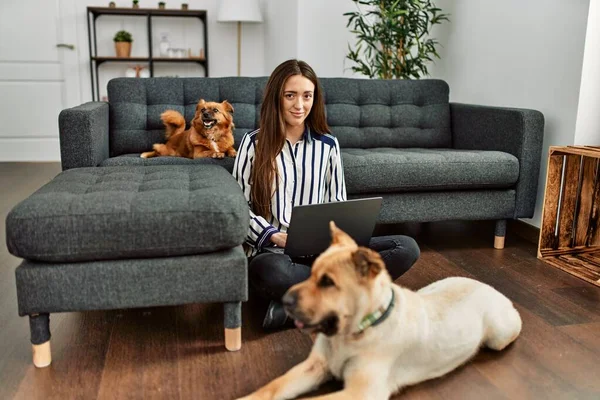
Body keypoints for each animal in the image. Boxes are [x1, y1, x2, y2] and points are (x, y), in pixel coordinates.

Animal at [237, 222, 524, 400]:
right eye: (312, 273)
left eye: (328, 282)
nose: (285, 300)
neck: (350, 333)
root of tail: (485, 284)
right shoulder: (314, 365)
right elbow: (272, 387)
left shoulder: (361, 392)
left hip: (500, 334)